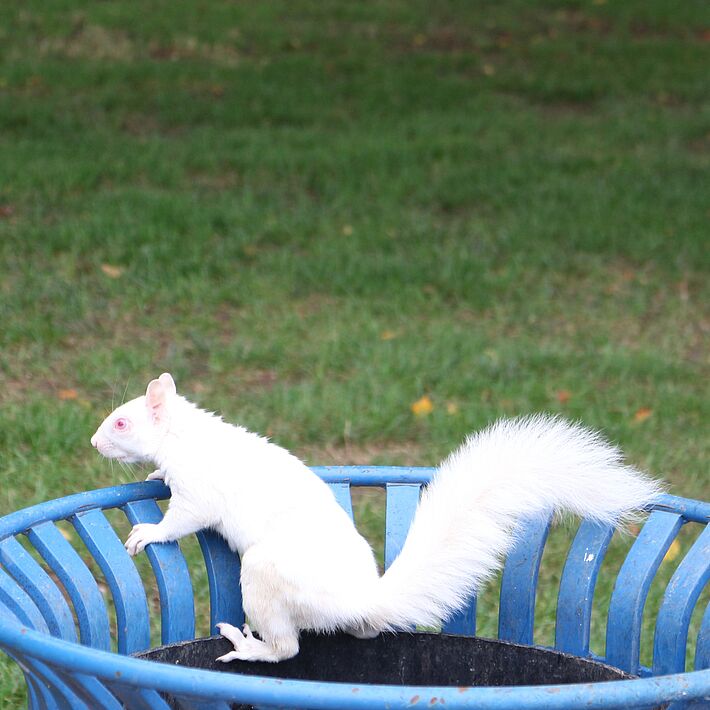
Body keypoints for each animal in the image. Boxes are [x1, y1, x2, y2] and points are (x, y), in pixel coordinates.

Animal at [91, 372, 662, 663]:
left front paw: (147, 533)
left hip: (268, 574)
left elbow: (181, 520)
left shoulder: (200, 492)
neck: (184, 435)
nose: (94, 442)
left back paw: (249, 648)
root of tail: (362, 600)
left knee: (288, 648)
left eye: (121, 422)